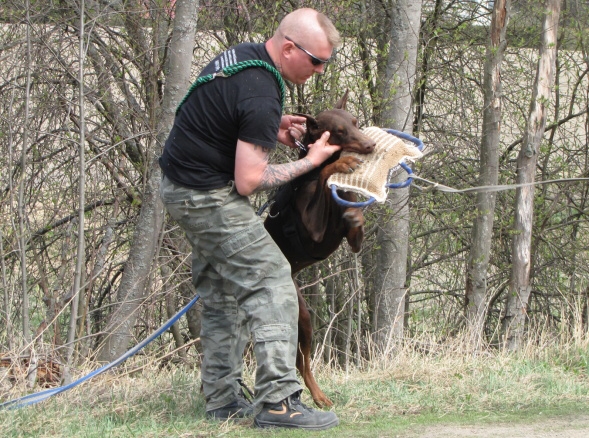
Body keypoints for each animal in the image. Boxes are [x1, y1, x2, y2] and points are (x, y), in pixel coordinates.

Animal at [264, 91, 374, 408]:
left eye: (355, 122)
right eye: (338, 132)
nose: (370, 145)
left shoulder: (352, 239)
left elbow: (353, 227)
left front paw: (355, 216)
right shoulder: (314, 231)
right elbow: (324, 173)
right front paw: (338, 165)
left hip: (304, 319)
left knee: (302, 363)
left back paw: (319, 395)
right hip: (299, 320)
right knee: (302, 364)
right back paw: (318, 396)